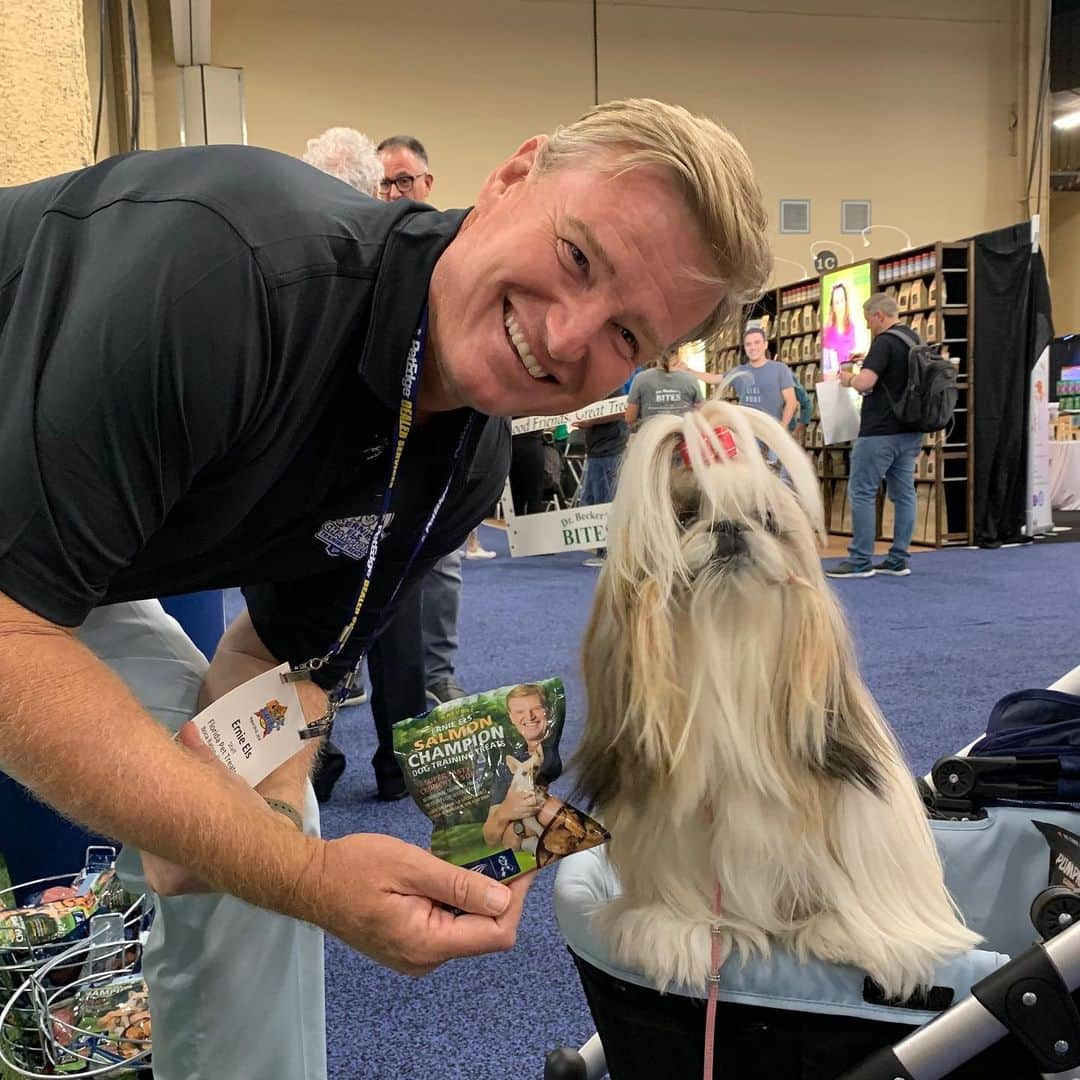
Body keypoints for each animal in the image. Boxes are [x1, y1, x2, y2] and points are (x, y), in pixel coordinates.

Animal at [574, 401, 980, 997]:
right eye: (683, 517)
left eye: (765, 519)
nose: (728, 528)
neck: (729, 656)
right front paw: (678, 931)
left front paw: (858, 934)